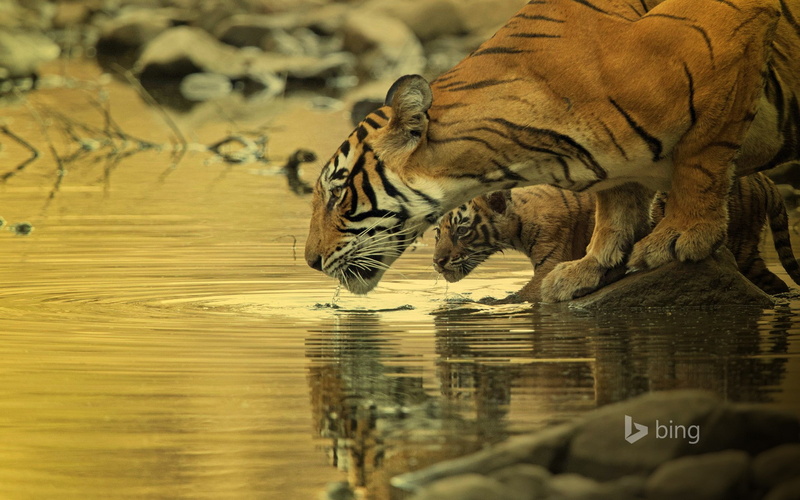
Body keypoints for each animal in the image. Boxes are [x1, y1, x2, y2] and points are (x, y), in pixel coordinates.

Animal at [434, 173, 800, 303]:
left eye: (461, 230)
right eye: (438, 233)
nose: (437, 262)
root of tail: (767, 181)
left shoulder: (550, 262)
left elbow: (522, 295)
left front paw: (487, 303)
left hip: (743, 248)